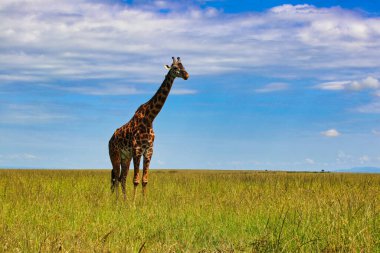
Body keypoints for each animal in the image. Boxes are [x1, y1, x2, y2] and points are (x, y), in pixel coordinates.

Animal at [107, 56, 189, 201]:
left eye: (184, 66)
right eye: (175, 68)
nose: (186, 75)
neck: (150, 118)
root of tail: (110, 140)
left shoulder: (149, 150)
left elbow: (144, 180)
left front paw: (143, 202)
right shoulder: (137, 150)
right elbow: (135, 180)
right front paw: (134, 203)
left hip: (125, 157)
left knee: (122, 178)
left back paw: (124, 200)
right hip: (114, 154)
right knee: (116, 177)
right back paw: (117, 201)